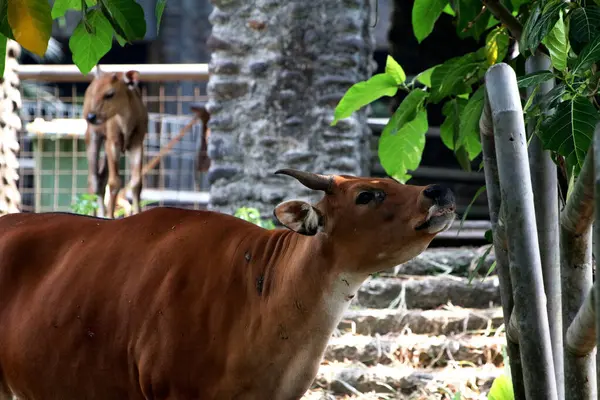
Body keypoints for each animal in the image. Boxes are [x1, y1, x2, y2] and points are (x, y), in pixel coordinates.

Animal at [83, 67, 149, 220]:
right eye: (95, 92)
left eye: (110, 94)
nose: (91, 116)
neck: (126, 123)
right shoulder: (112, 142)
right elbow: (114, 182)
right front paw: (110, 216)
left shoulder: (137, 143)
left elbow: (136, 182)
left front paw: (138, 212)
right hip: (93, 136)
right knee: (93, 180)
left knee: (101, 179)